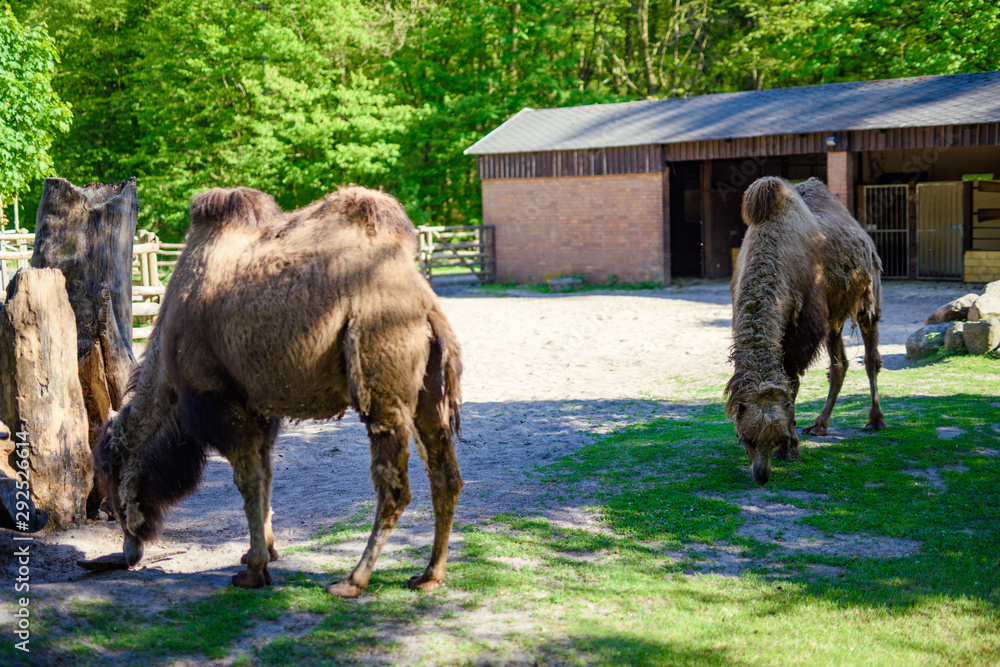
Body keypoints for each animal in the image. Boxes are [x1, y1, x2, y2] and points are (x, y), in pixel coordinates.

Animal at [90, 185, 463, 597]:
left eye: (110, 472)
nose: (130, 552)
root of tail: (425, 304)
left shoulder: (220, 400)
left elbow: (248, 481)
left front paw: (253, 571)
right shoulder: (259, 408)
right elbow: (266, 474)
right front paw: (264, 552)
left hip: (379, 372)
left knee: (393, 485)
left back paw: (353, 580)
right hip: (428, 389)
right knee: (445, 475)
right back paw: (429, 575)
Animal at [725, 177, 885, 486]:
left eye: (773, 439)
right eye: (746, 439)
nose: (761, 476)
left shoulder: (802, 329)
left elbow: (793, 383)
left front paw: (790, 448)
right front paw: (794, 441)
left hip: (867, 297)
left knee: (871, 357)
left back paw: (875, 421)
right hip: (833, 319)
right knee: (839, 365)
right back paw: (820, 425)